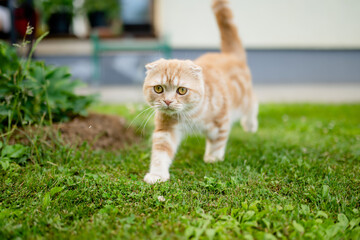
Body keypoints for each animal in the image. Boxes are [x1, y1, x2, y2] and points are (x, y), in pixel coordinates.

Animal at [142, 0, 258, 184]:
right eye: (159, 88)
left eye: (182, 90)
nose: (167, 101)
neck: (190, 115)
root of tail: (229, 55)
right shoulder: (166, 129)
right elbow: (160, 153)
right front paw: (157, 175)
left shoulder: (221, 121)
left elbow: (217, 142)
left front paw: (213, 158)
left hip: (243, 100)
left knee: (254, 102)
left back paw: (250, 124)